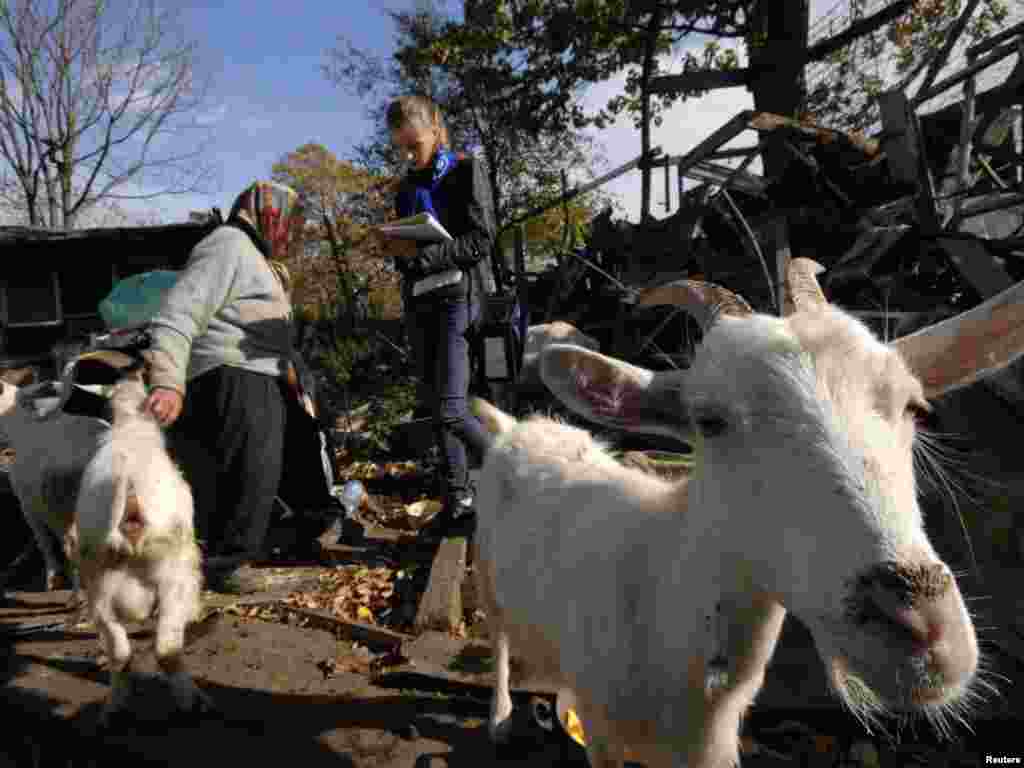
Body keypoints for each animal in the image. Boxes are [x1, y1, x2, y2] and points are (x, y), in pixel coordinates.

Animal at [74, 372, 209, 729]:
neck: (130, 426)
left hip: (99, 587)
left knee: (120, 653)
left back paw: (113, 711)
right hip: (173, 575)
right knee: (166, 648)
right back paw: (192, 703)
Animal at [473, 262, 1024, 765]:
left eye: (914, 407)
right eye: (708, 421)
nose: (924, 631)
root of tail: (518, 426)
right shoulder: (603, 740)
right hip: (485, 570)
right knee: (498, 639)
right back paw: (499, 718)